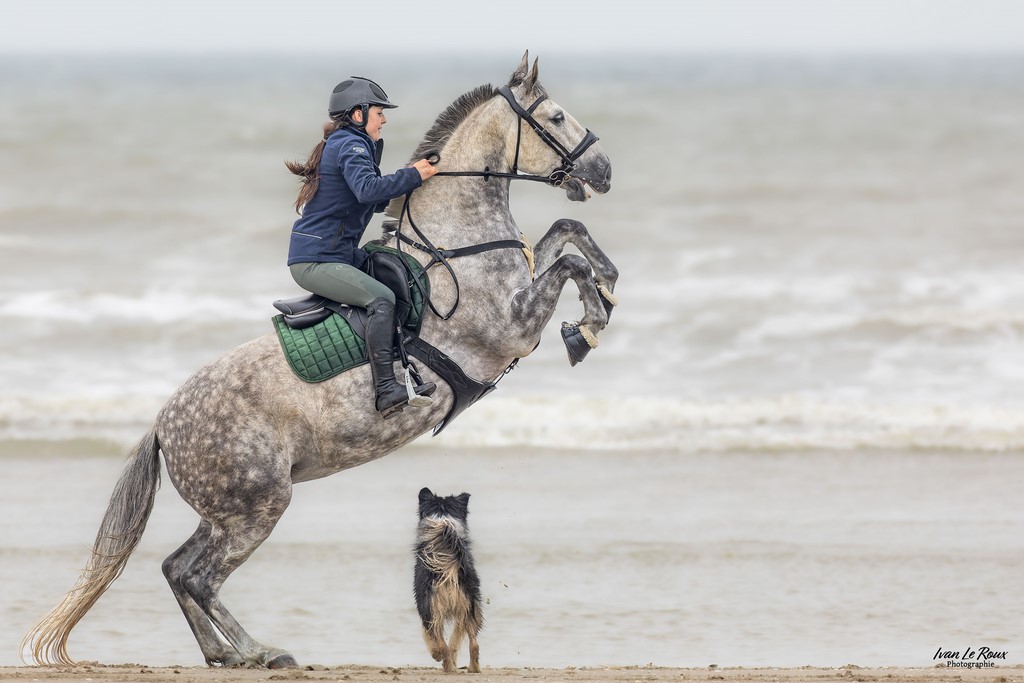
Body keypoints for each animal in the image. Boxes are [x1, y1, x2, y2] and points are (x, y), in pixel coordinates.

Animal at [413, 485, 481, 671]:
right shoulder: (462, 611)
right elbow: (455, 641)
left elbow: (431, 637)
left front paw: (439, 655)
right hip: (470, 604)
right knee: (474, 643)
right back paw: (473, 669)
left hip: (431, 606)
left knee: (440, 641)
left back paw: (444, 662)